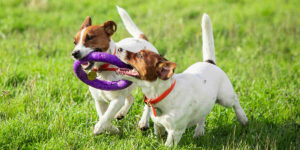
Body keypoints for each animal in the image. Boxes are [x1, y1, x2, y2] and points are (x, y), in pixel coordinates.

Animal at [72, 6, 157, 134]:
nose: (74, 53)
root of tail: (142, 39)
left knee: (148, 103)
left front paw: (98, 128)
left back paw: (143, 122)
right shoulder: (99, 100)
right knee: (130, 98)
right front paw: (112, 129)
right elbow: (103, 116)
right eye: (75, 42)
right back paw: (121, 113)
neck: (103, 69)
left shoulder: (117, 100)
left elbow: (106, 116)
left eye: (90, 37)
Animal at [116, 13, 247, 145]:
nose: (119, 48)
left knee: (235, 100)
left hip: (225, 98)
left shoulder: (175, 132)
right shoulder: (158, 126)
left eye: (140, 55)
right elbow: (158, 136)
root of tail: (209, 62)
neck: (163, 93)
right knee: (203, 116)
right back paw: (199, 132)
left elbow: (167, 145)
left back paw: (242, 118)